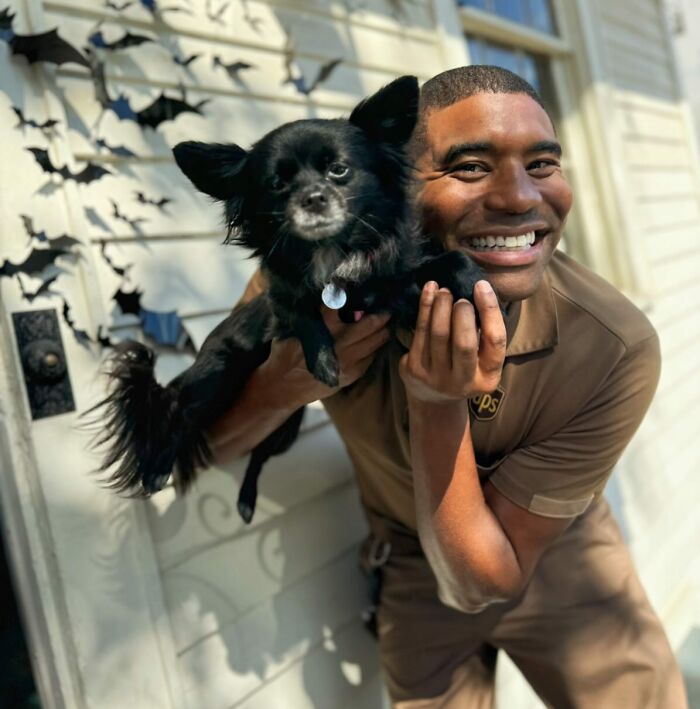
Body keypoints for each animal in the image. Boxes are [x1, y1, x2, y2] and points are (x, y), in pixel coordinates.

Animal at [89, 76, 486, 520]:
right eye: (277, 184)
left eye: (339, 170)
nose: (313, 198)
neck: (331, 256)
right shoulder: (280, 301)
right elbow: (304, 315)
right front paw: (325, 362)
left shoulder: (394, 287)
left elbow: (450, 261)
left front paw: (474, 282)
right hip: (213, 378)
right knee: (177, 408)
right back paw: (157, 469)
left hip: (286, 427)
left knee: (257, 454)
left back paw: (246, 500)